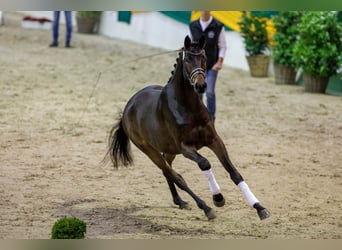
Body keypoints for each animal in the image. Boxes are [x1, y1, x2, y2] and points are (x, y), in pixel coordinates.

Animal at [103, 35, 270, 221]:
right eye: (188, 59)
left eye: (203, 57)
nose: (201, 86)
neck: (189, 107)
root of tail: (128, 108)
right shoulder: (186, 148)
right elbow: (205, 163)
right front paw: (218, 198)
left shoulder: (214, 140)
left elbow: (234, 172)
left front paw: (259, 208)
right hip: (150, 150)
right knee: (175, 176)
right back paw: (205, 208)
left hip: (169, 150)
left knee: (169, 172)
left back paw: (180, 201)